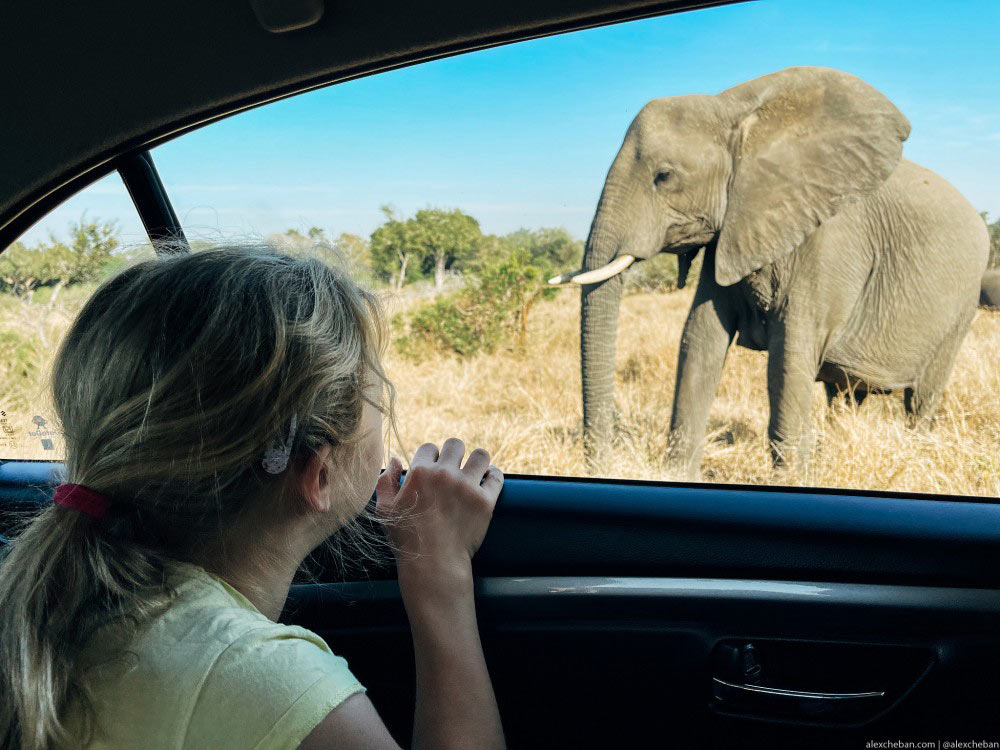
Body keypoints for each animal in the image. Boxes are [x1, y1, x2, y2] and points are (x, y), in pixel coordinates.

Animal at [552, 67, 988, 478]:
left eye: (664, 176)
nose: (604, 467)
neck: (732, 111)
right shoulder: (732, 231)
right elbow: (699, 338)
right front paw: (676, 475)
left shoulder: (830, 241)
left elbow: (788, 357)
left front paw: (791, 480)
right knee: (845, 395)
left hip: (959, 312)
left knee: (922, 399)